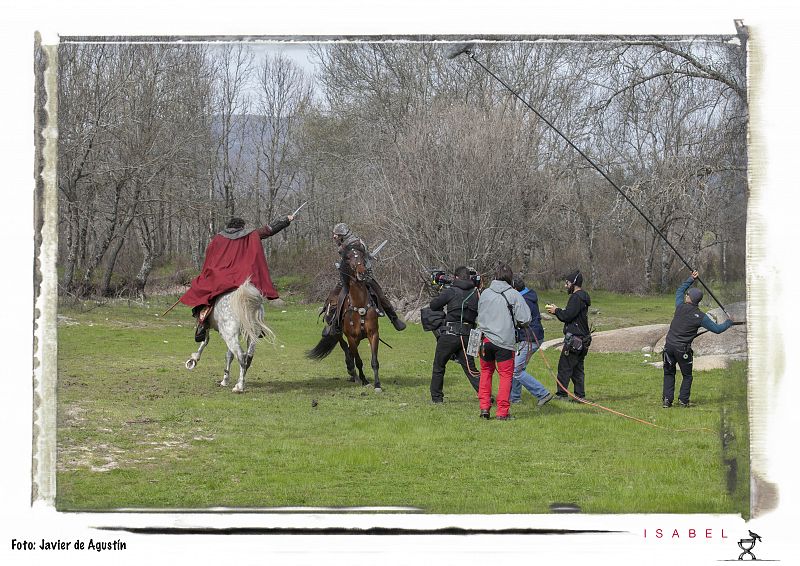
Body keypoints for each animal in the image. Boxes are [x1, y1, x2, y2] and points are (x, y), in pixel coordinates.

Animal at [304, 250, 382, 394]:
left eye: (362, 256)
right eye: (349, 259)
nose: (362, 273)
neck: (359, 304)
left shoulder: (373, 334)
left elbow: (374, 361)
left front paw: (377, 384)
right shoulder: (351, 337)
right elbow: (358, 360)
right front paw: (364, 380)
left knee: (349, 352)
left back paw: (352, 373)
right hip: (339, 334)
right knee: (346, 348)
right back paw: (352, 372)